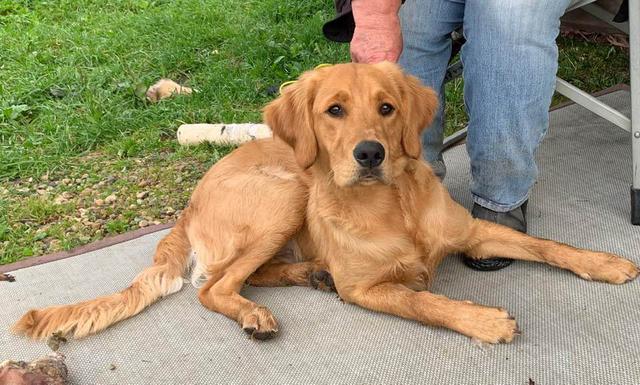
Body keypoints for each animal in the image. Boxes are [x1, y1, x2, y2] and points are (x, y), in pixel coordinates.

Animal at [12, 62, 636, 342]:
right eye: (333, 110)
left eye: (386, 108)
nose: (370, 153)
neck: (392, 206)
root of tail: (189, 204)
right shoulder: (367, 289)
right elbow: (424, 302)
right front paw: (481, 319)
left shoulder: (477, 235)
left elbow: (547, 245)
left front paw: (604, 262)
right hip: (284, 194)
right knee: (215, 287)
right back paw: (257, 312)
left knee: (249, 273)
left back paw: (309, 275)